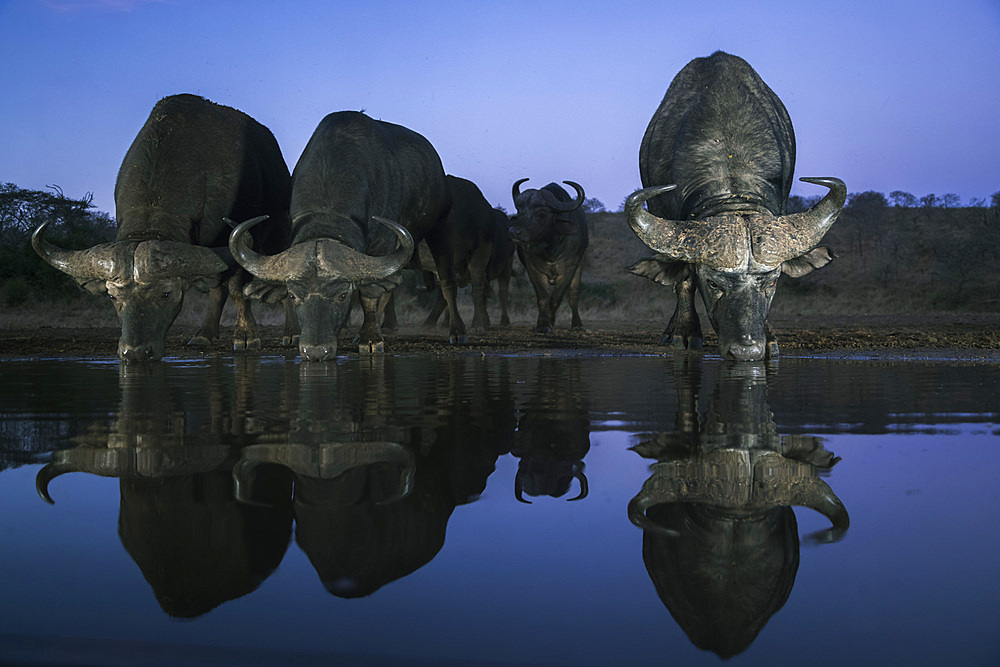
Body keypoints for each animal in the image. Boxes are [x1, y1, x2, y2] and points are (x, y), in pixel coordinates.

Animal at [31, 94, 290, 360]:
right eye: (112, 296)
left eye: (166, 294)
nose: (135, 352)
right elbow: (220, 286)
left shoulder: (244, 236)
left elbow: (239, 288)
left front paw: (247, 336)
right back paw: (204, 334)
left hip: (280, 229)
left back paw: (290, 334)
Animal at [229, 112, 466, 360]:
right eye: (293, 296)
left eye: (342, 295)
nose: (315, 351)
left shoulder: (383, 245)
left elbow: (368, 296)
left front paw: (371, 339)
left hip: (439, 226)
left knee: (446, 282)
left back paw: (457, 332)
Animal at [508, 179, 584, 332]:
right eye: (519, 211)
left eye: (541, 214)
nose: (514, 231)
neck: (551, 250)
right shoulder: (533, 269)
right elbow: (543, 296)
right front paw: (543, 324)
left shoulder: (568, 270)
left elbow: (556, 298)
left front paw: (550, 319)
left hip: (579, 266)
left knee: (573, 295)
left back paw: (577, 324)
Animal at [628, 52, 848, 362]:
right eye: (714, 284)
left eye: (772, 282)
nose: (746, 351)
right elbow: (684, 279)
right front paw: (684, 331)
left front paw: (769, 339)